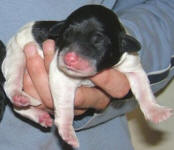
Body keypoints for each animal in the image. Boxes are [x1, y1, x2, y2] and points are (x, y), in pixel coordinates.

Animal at [1, 4, 173, 148]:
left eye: (98, 41)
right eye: (66, 34)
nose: (69, 58)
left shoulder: (132, 66)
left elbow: (144, 90)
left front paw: (156, 111)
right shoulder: (62, 77)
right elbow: (65, 106)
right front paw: (67, 130)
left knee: (17, 108)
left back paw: (38, 115)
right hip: (16, 55)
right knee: (10, 86)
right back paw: (19, 96)